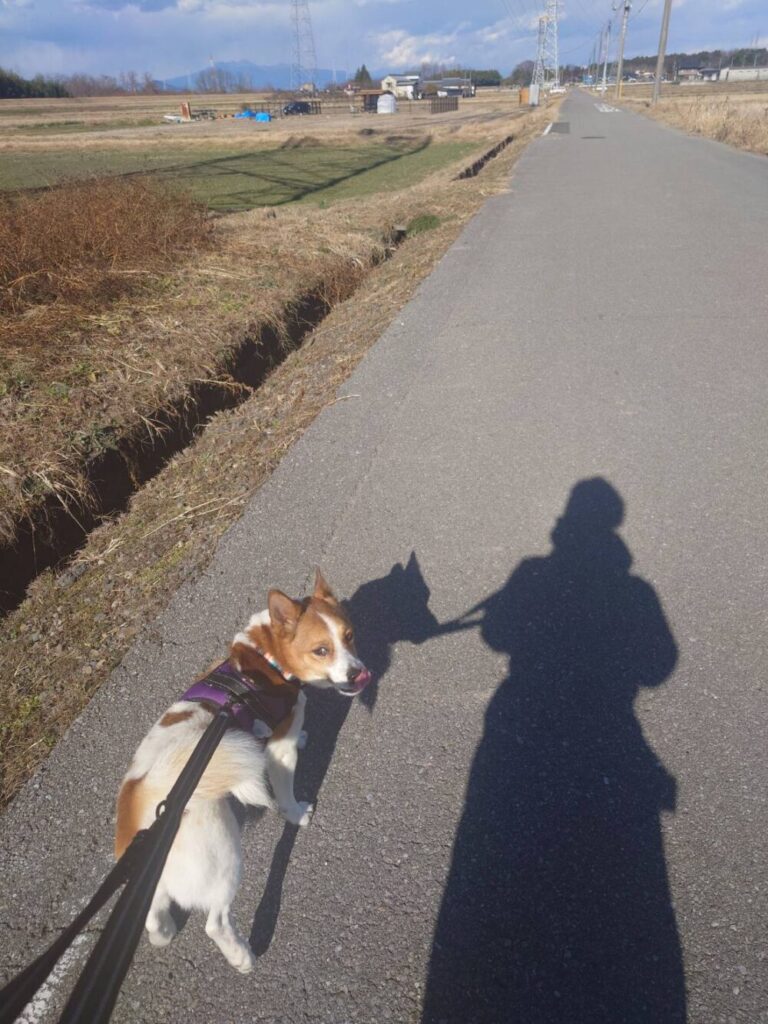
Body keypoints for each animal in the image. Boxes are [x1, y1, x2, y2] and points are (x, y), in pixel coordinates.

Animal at [113, 573, 372, 970]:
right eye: (321, 650)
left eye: (350, 636)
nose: (358, 673)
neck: (268, 659)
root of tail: (143, 795)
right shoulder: (279, 749)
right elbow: (286, 793)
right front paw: (297, 814)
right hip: (224, 855)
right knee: (216, 922)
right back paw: (241, 956)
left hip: (151, 886)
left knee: (153, 919)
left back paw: (166, 932)